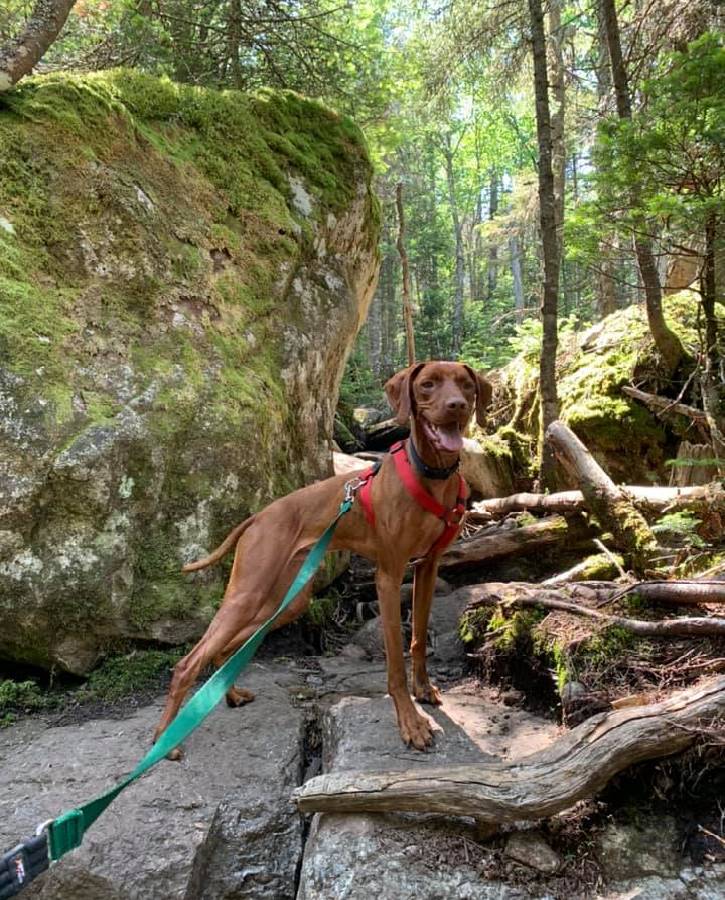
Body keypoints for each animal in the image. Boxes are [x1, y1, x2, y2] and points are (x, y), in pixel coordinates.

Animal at [153, 362, 492, 756]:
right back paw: (165, 741)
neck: (430, 474)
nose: (457, 406)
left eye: (466, 385)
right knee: (187, 663)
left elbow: (419, 638)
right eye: (427, 385)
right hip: (248, 594)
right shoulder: (388, 577)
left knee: (226, 649)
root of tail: (258, 517)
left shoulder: (427, 567)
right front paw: (410, 723)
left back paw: (231, 695)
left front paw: (423, 690)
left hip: (285, 602)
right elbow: (394, 660)